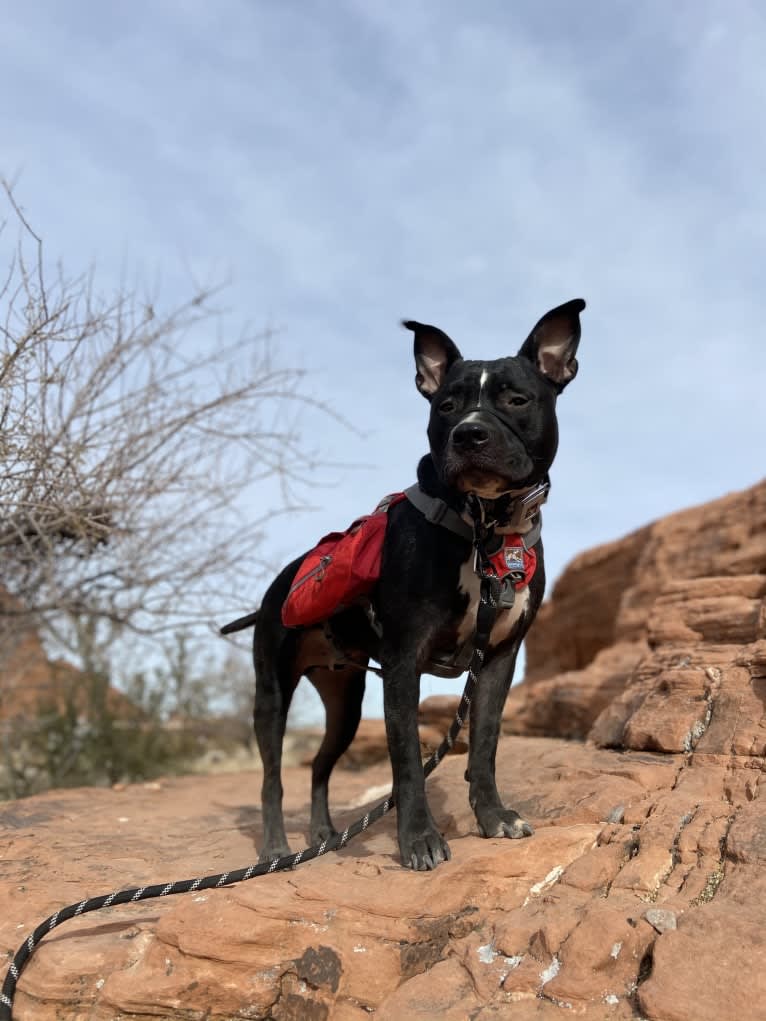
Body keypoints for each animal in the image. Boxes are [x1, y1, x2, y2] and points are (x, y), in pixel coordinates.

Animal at [221, 298, 588, 873]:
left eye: (516, 399)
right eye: (446, 405)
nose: (469, 434)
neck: (484, 529)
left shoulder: (497, 660)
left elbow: (484, 744)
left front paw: (493, 816)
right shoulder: (402, 662)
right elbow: (408, 760)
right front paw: (418, 840)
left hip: (345, 703)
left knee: (319, 766)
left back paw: (322, 834)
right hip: (272, 695)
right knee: (273, 777)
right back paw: (277, 847)